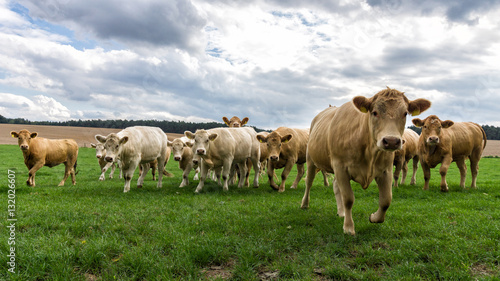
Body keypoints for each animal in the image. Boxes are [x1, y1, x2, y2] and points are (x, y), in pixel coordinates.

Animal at [298, 87, 432, 234]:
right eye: (374, 112)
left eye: (405, 113)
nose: (391, 141)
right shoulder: (341, 167)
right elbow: (348, 199)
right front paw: (349, 227)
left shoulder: (386, 170)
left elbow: (386, 200)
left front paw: (374, 217)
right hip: (311, 159)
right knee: (309, 182)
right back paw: (305, 204)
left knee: (335, 186)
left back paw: (341, 212)